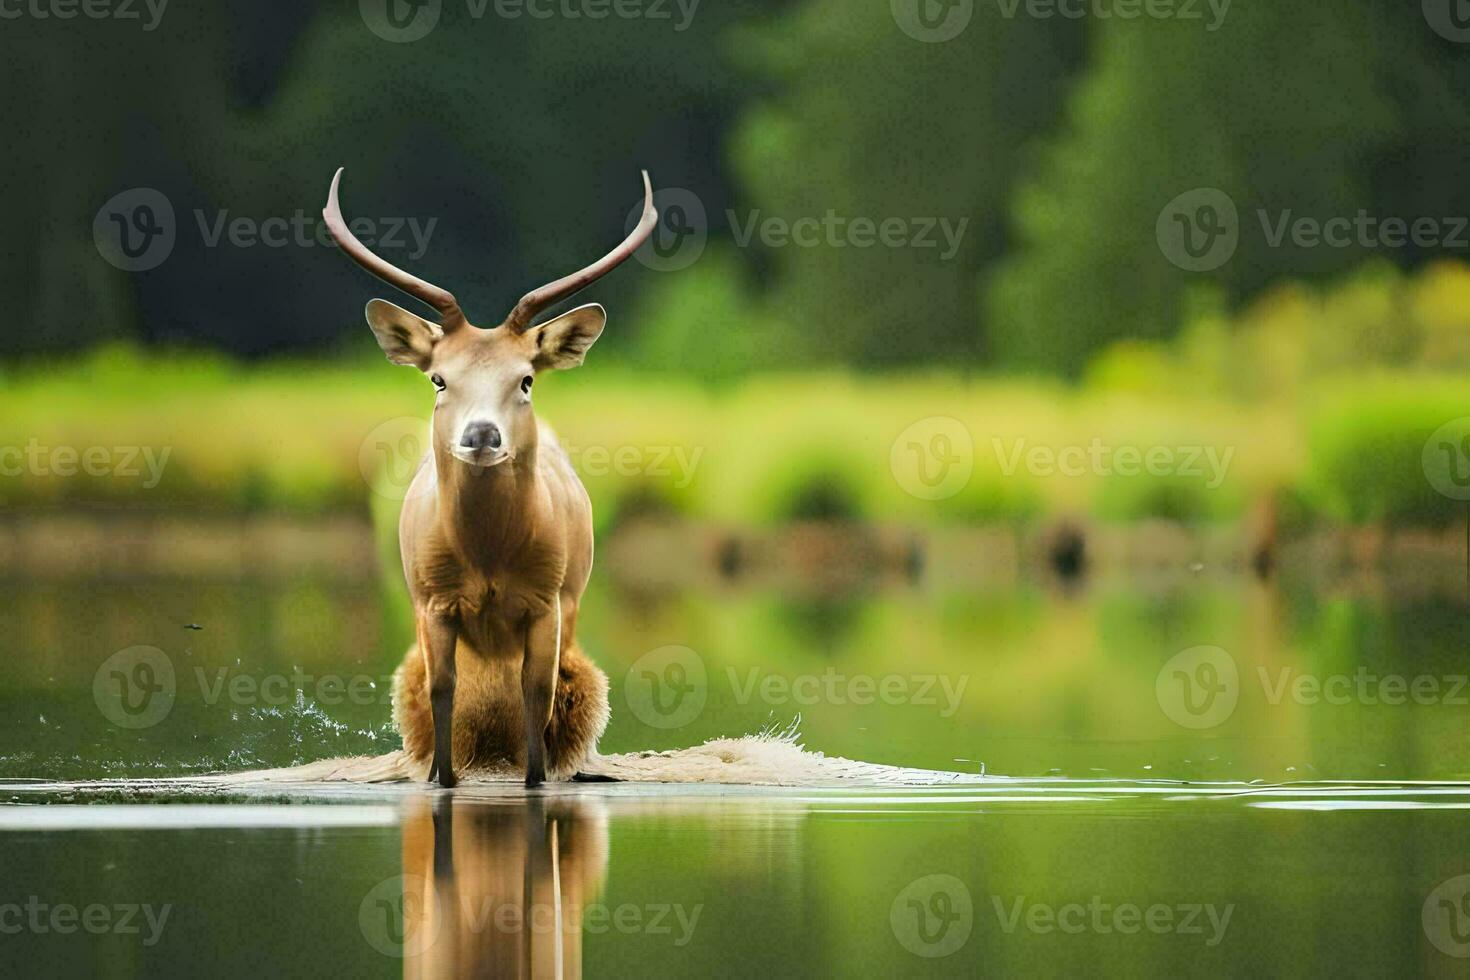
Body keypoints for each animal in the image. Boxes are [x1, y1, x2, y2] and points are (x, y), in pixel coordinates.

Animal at [330, 164, 664, 787]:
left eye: (525, 378)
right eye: (439, 378)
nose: (482, 435)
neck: (486, 555)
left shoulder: (545, 601)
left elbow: (538, 695)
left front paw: (535, 777)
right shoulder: (433, 602)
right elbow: (441, 691)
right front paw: (443, 776)